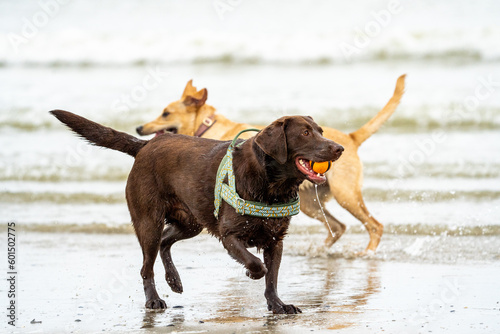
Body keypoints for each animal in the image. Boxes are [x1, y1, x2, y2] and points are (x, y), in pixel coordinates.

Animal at [137, 75, 406, 253]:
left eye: (165, 113)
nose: (139, 127)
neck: (206, 126)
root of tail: (350, 138)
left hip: (345, 194)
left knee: (374, 226)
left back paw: (367, 253)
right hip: (312, 203)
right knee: (337, 227)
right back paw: (321, 251)